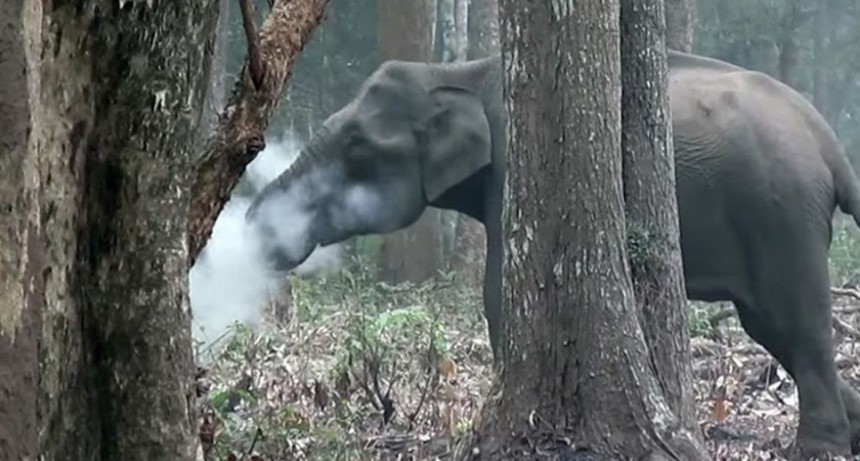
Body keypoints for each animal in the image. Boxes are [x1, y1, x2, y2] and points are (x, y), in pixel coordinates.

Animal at [244, 50, 860, 458]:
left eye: (356, 148)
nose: (249, 229)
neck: (456, 73)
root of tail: (830, 144)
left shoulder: (513, 169)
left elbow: (499, 292)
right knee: (770, 327)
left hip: (780, 213)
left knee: (793, 322)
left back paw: (817, 450)